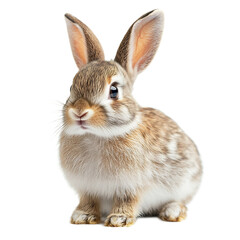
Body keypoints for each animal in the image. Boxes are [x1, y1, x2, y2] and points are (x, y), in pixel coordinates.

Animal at [58, 9, 202, 227]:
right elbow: (88, 201)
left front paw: (119, 219)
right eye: (71, 88)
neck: (95, 136)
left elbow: (127, 200)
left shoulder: (131, 186)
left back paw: (172, 212)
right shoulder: (87, 188)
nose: (79, 112)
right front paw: (82, 216)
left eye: (114, 91)